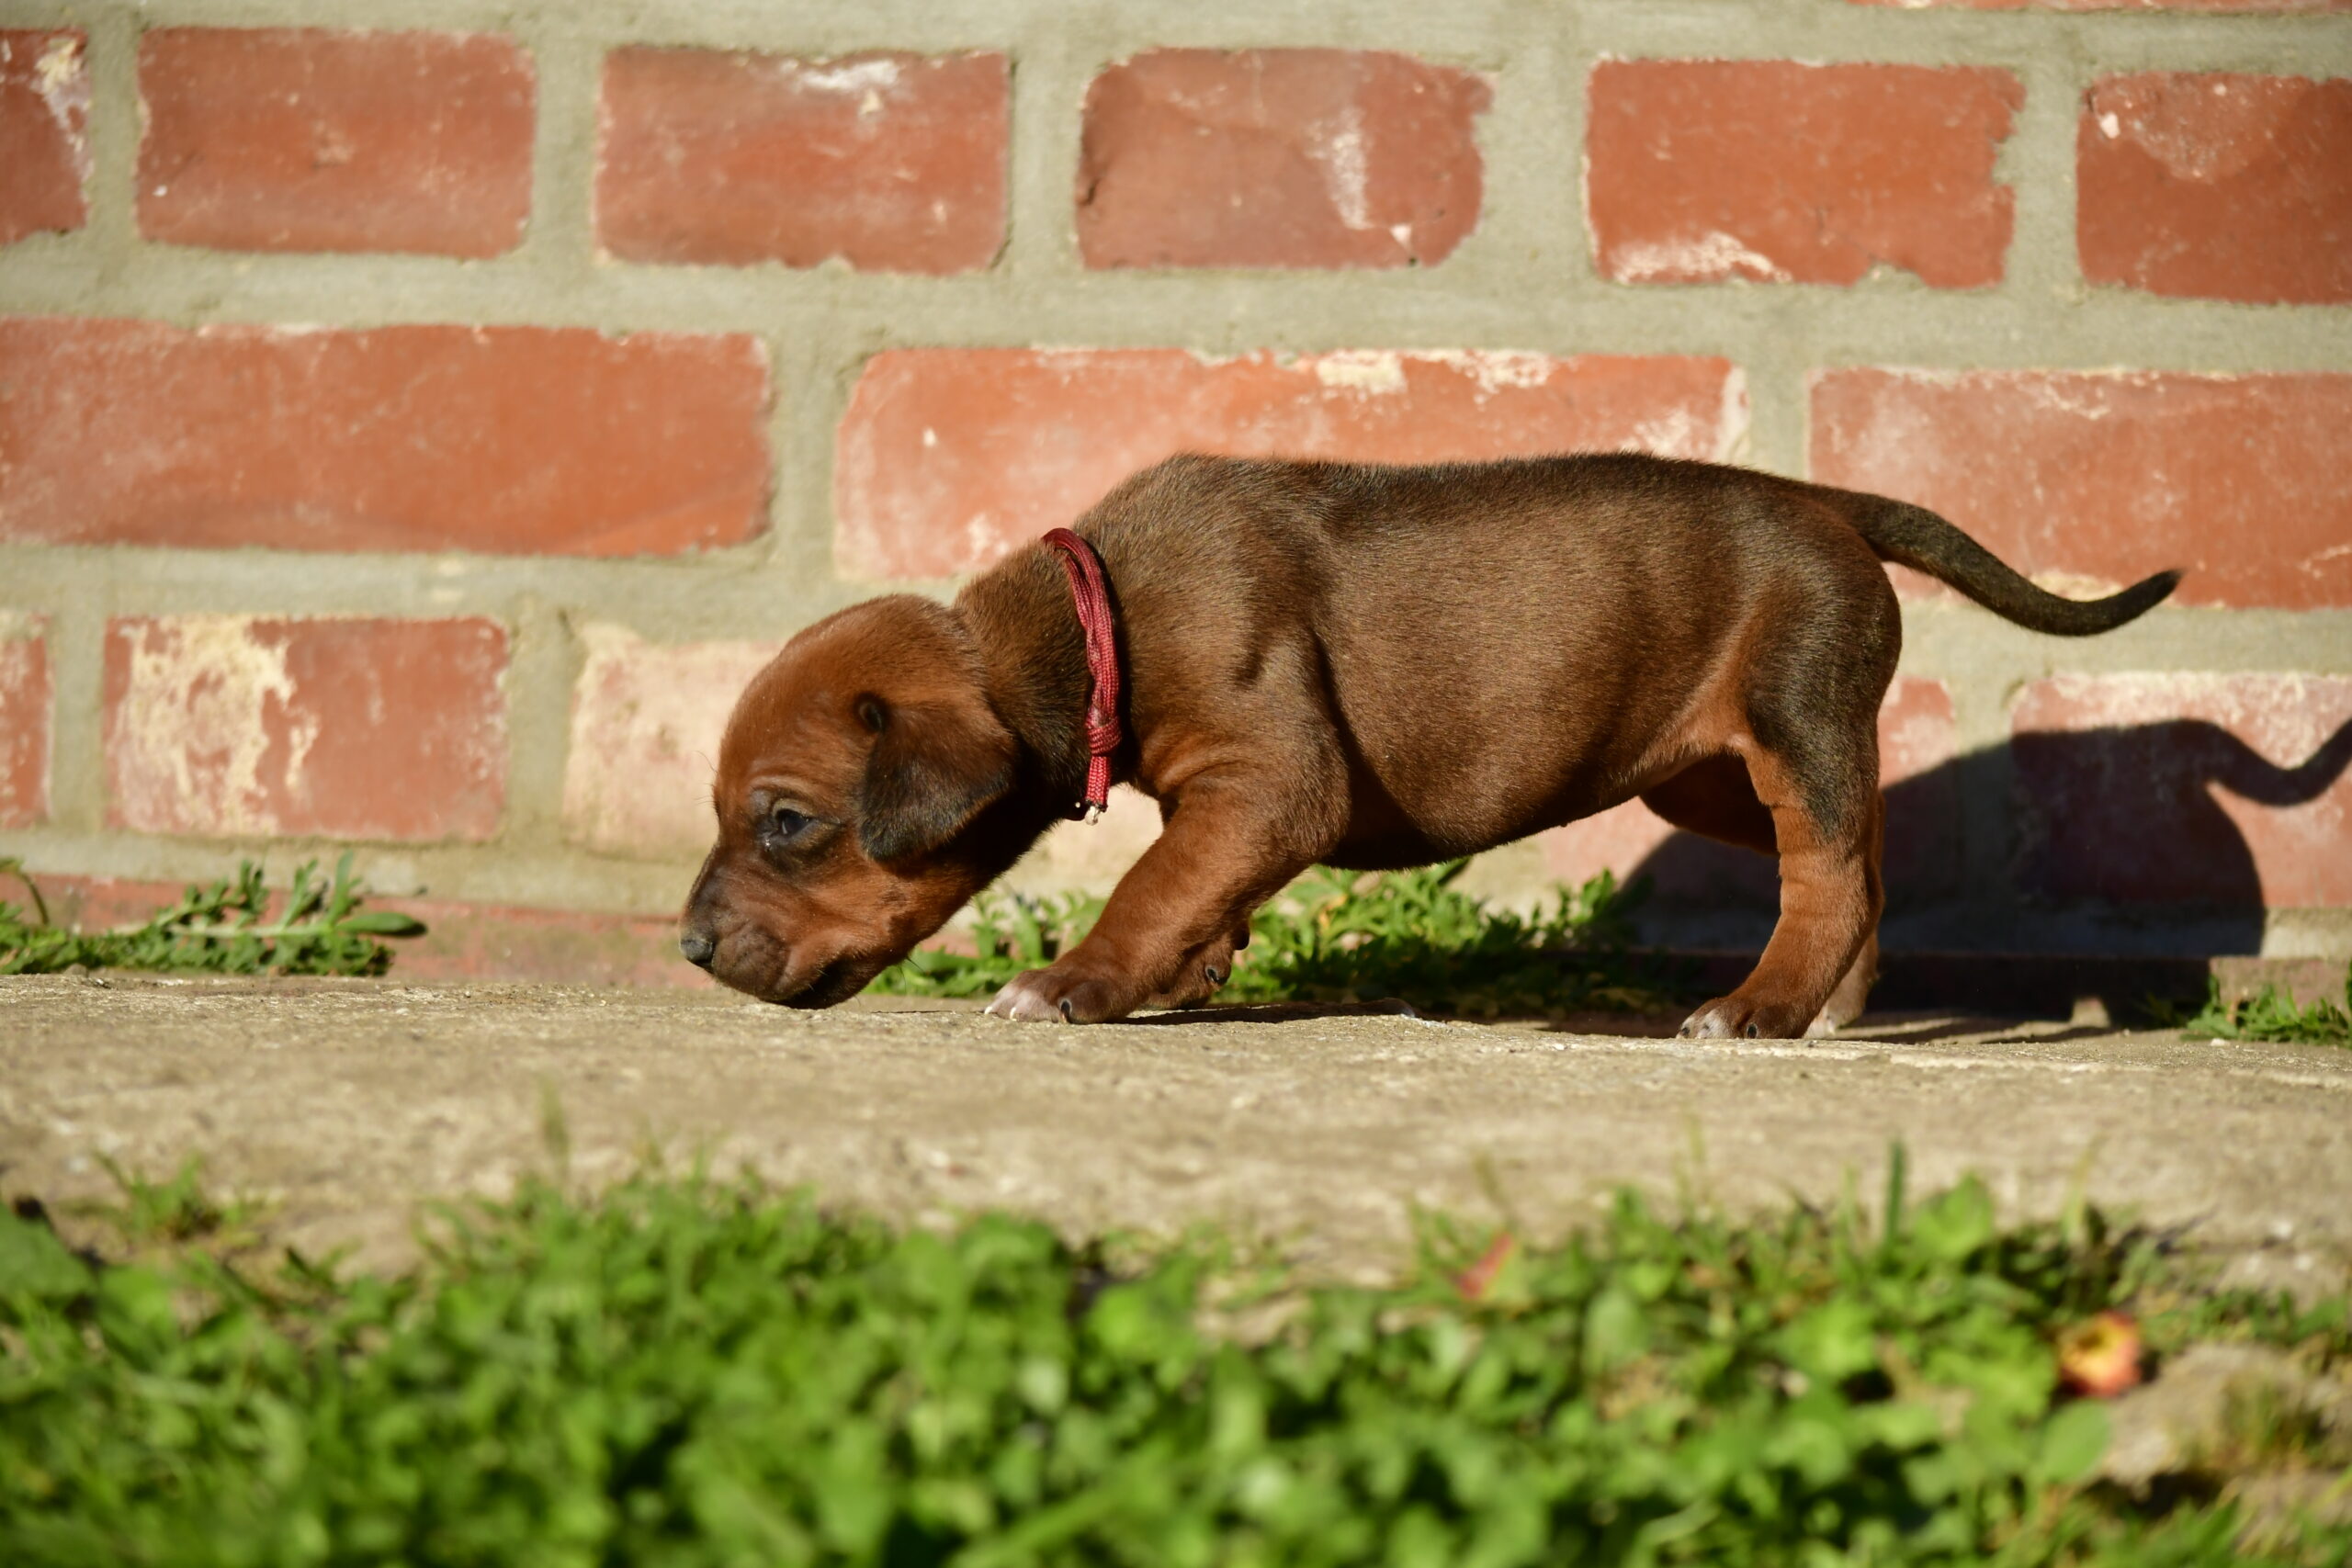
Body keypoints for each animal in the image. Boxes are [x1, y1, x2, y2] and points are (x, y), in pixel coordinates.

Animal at [681, 453, 2176, 1037]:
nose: (687, 950)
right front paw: (1186, 974)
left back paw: (1757, 1006)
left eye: (787, 822)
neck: (1088, 625)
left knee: (1831, 868)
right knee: (1861, 852)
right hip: (1713, 769)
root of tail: (1826, 499)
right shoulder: (1236, 807)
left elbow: (1153, 882)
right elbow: (1198, 888)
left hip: (1792, 723)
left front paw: (1079, 981)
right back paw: (1832, 999)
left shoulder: (1269, 779)